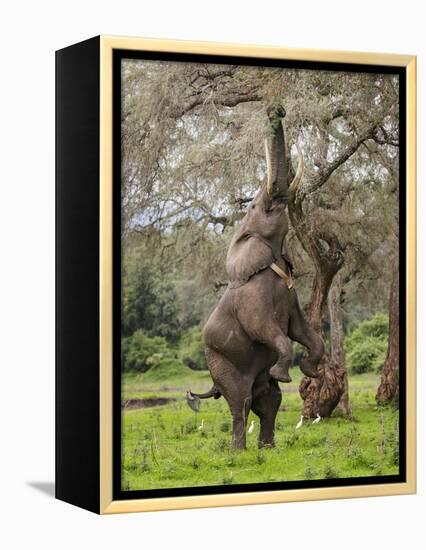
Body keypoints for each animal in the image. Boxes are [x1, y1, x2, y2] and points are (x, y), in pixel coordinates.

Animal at [186, 105, 322, 450]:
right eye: (254, 206)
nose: (276, 110)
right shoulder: (251, 298)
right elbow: (266, 329)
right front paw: (286, 373)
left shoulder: (292, 293)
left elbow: (302, 330)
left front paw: (310, 370)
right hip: (220, 361)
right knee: (241, 402)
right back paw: (239, 452)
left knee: (269, 401)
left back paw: (268, 448)